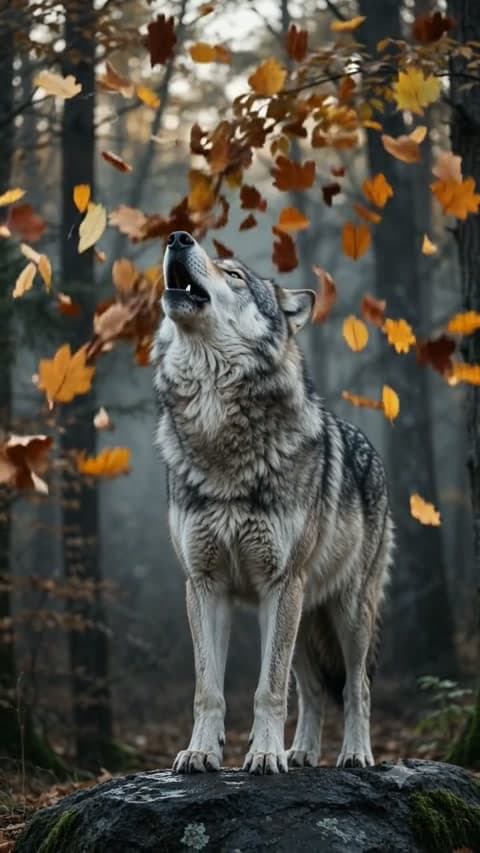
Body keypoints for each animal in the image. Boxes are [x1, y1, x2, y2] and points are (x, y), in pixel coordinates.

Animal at [152, 230, 394, 776]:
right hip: (302, 618)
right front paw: (202, 752)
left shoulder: (278, 584)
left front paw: (261, 755)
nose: (177, 236)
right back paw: (300, 752)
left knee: (358, 688)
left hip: (346, 612)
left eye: (234, 274)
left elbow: (268, 689)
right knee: (312, 688)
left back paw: (354, 754)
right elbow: (209, 690)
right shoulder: (205, 584)